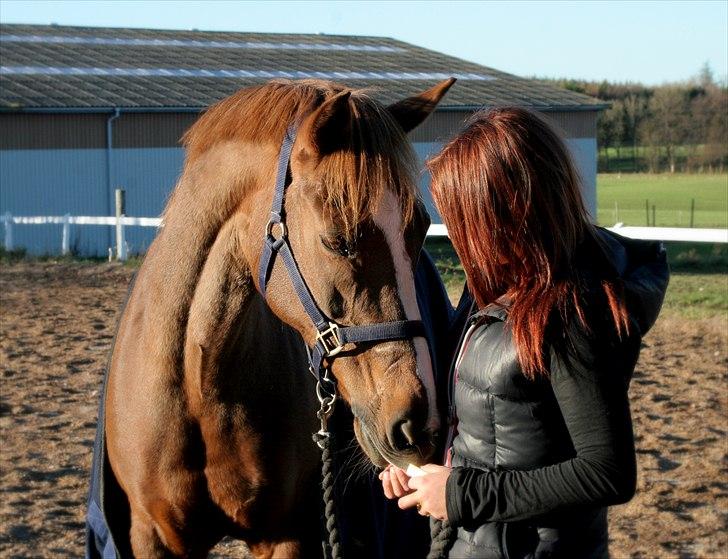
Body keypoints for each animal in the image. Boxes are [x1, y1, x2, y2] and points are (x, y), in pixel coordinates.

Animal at [102, 80, 456, 559]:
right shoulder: (152, 536)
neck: (198, 383)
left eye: (419, 229)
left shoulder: (285, 534)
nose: (420, 423)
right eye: (338, 241)